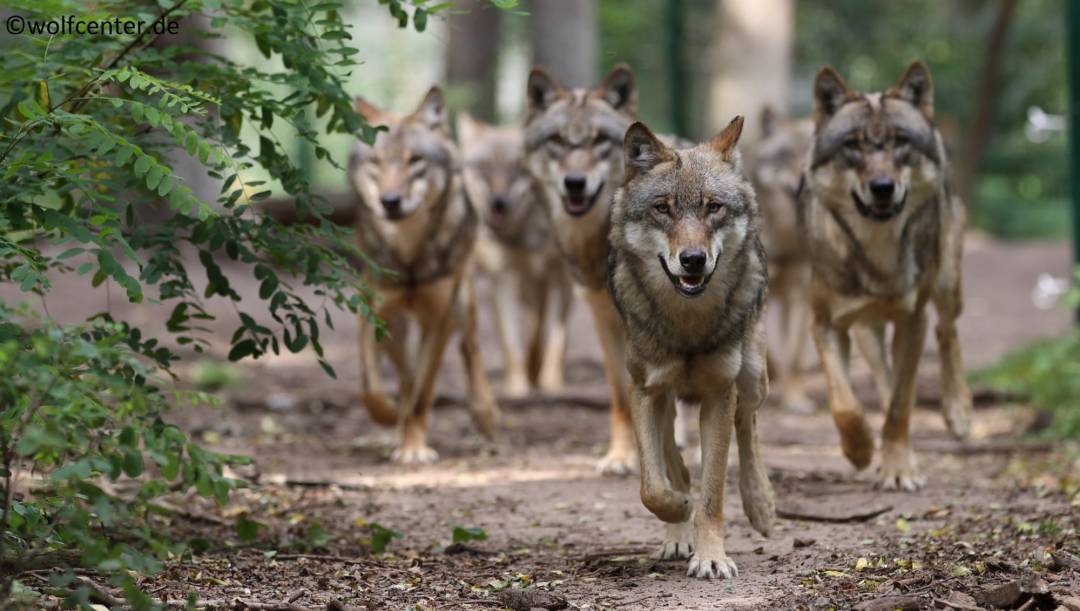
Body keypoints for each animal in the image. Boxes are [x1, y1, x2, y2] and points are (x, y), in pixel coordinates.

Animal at [345, 87, 496, 464]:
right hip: (398, 325)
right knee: (405, 375)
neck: (409, 255)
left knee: (470, 348)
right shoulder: (374, 311)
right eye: (376, 161)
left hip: (462, 301)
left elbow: (423, 392)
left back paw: (485, 412)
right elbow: (371, 386)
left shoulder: (438, 320)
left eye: (415, 160)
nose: (391, 201)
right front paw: (389, 417)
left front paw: (414, 449)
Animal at [455, 111, 574, 397]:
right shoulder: (504, 278)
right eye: (484, 165)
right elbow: (511, 343)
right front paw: (517, 387)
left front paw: (551, 383)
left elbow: (556, 337)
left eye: (515, 167)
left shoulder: (560, 277)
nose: (498, 203)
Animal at [609, 117, 777, 582]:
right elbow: (653, 487)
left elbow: (714, 490)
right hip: (663, 397)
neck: (687, 324)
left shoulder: (720, 393)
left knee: (749, 426)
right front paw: (680, 511)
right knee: (672, 459)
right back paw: (677, 530)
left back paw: (761, 503)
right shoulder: (645, 390)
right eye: (663, 208)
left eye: (713, 208)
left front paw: (712, 557)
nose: (693, 259)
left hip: (752, 377)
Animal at [803, 63, 972, 494]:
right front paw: (860, 450)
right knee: (884, 377)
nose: (882, 188)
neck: (877, 252)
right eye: (853, 145)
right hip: (867, 330)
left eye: (900, 141)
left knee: (947, 332)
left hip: (946, 285)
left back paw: (958, 412)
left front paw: (898, 470)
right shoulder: (826, 324)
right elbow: (845, 404)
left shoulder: (913, 321)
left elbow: (900, 406)